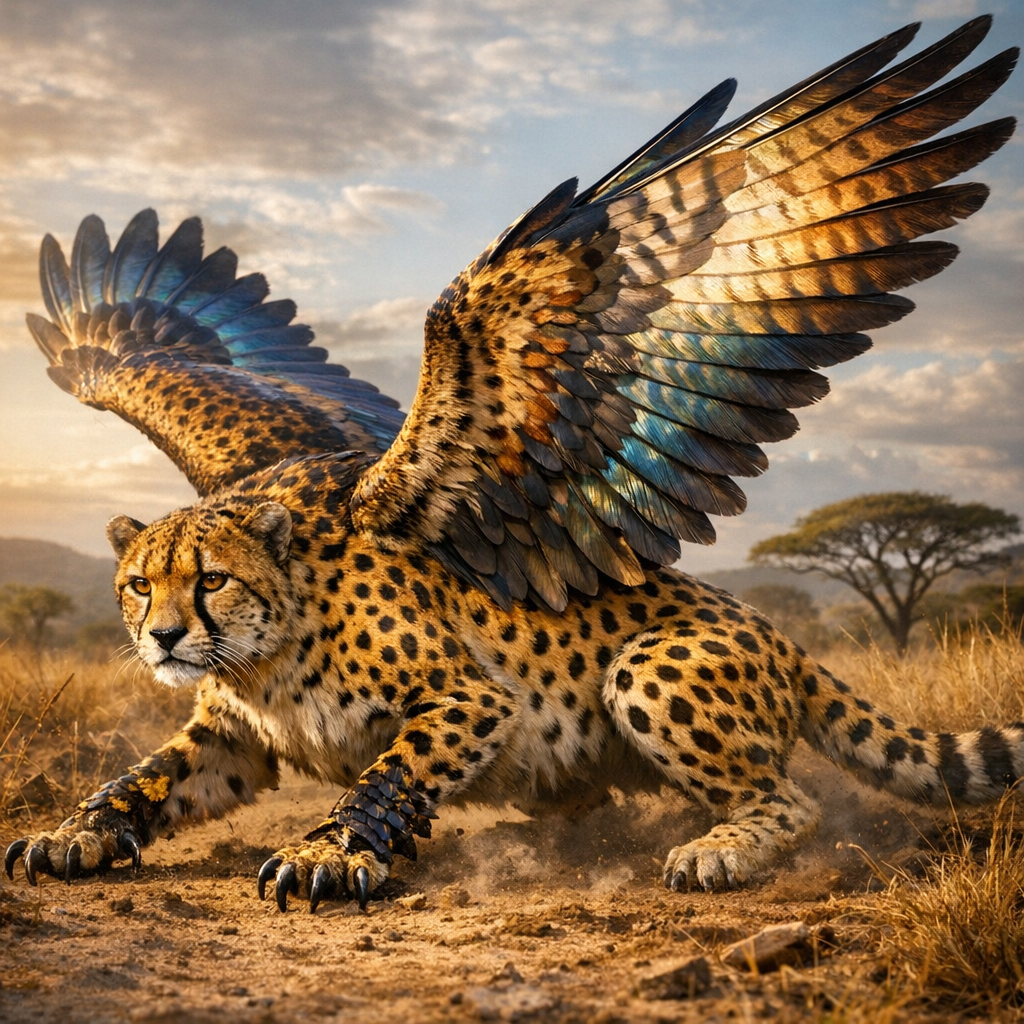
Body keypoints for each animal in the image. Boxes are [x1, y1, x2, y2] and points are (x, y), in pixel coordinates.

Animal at [7, 451, 1023, 911]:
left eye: (210, 578)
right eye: (140, 583)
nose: (165, 638)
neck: (265, 650)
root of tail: (777, 629)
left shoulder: (471, 698)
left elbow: (390, 771)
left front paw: (329, 853)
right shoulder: (233, 738)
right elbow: (147, 778)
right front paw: (73, 834)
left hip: (644, 665)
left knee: (791, 798)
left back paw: (718, 850)